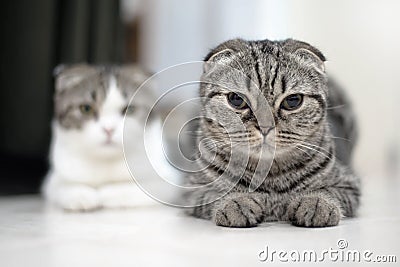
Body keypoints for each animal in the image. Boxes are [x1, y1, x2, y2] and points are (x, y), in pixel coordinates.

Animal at [42, 64, 164, 211]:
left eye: (129, 109)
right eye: (86, 108)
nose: (109, 129)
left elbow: (132, 188)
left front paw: (105, 195)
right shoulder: (53, 179)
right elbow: (64, 186)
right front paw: (82, 196)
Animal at [186, 38, 360, 229]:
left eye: (293, 101)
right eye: (236, 99)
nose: (265, 127)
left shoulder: (349, 185)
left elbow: (328, 191)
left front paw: (316, 203)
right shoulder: (192, 190)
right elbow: (216, 194)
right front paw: (237, 202)